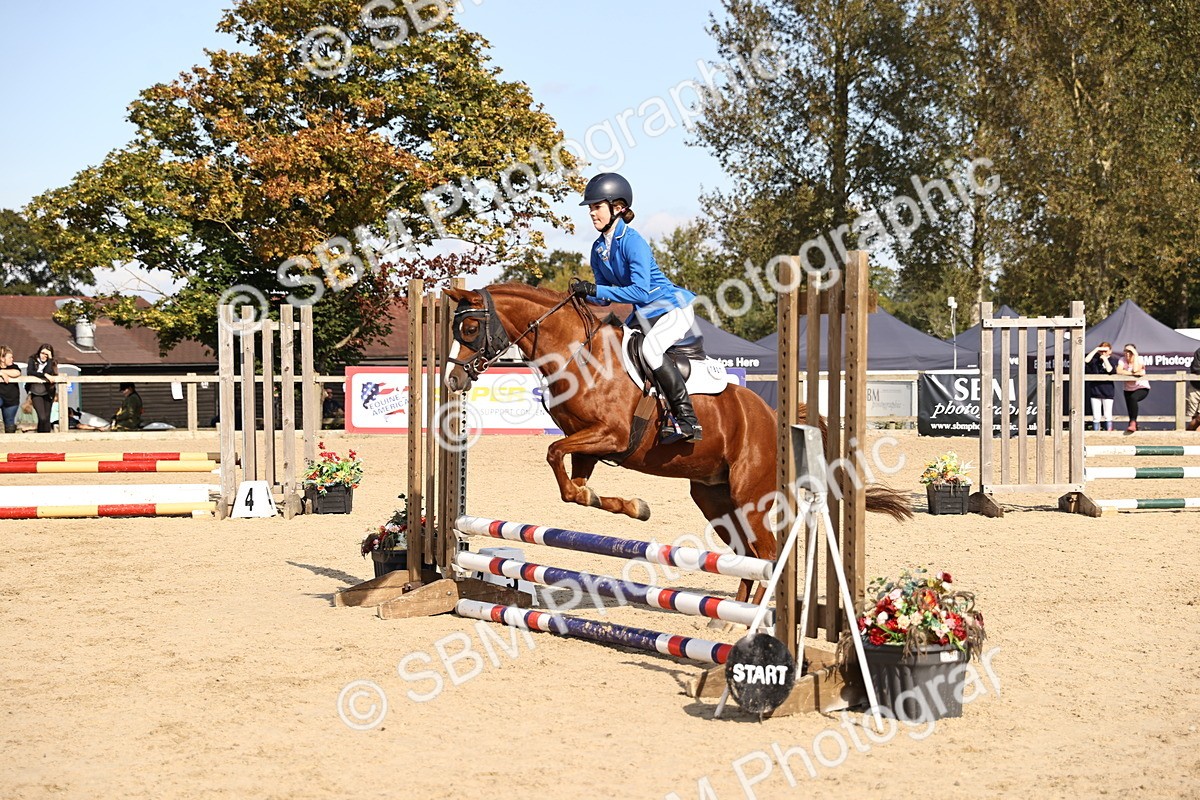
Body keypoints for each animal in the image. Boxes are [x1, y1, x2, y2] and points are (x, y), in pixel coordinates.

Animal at [443, 283, 912, 605]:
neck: (576, 352)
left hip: (750, 492)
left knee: (767, 551)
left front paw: (627, 504)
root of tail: (771, 415)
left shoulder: (610, 434)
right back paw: (732, 614)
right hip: (716, 499)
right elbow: (572, 488)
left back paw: (750, 622)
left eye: (471, 327)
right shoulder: (590, 447)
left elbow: (553, 454)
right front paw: (631, 506)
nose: (453, 380)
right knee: (748, 554)